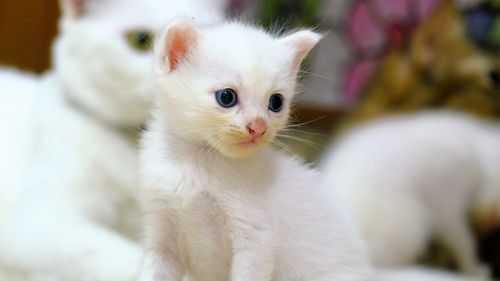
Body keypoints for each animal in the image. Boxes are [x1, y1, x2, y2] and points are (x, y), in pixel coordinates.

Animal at [139, 19, 374, 280]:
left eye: (276, 102)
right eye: (226, 97)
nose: (259, 127)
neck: (200, 161)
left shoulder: (256, 241)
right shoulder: (161, 235)